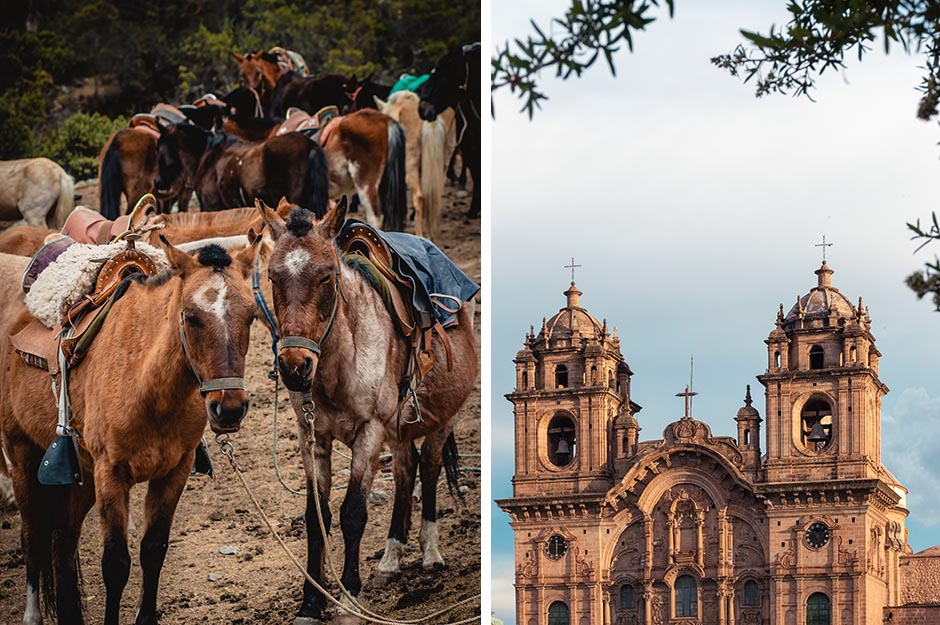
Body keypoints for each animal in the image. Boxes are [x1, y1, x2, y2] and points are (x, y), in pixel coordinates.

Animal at [0, 235, 260, 624]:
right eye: (191, 316)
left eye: (251, 315)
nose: (228, 408)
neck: (146, 383)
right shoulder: (111, 474)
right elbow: (115, 564)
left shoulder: (174, 471)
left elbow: (153, 550)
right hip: (23, 458)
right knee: (33, 538)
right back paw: (32, 616)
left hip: (80, 479)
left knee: (62, 541)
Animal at [258, 199, 478, 624]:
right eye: (273, 277)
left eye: (326, 276)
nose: (294, 367)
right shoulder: (313, 437)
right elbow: (317, 518)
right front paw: (310, 605)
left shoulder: (369, 432)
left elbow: (352, 514)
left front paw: (349, 599)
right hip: (399, 429)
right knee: (406, 471)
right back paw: (391, 560)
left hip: (443, 419)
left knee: (429, 468)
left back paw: (430, 553)